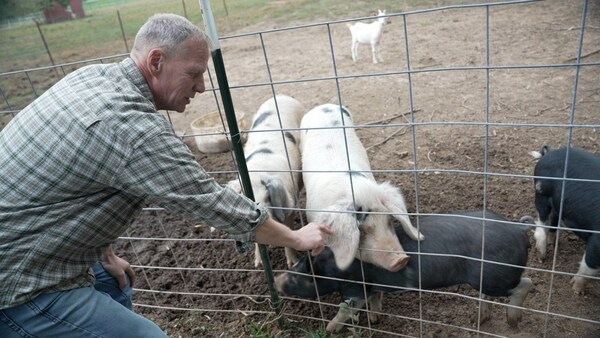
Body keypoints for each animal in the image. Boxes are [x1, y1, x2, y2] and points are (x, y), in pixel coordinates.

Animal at [229, 94, 308, 266]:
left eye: (268, 197)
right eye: (245, 199)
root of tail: (281, 96)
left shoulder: (289, 203)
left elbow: (288, 229)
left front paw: (294, 263)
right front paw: (258, 264)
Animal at [274, 210, 532, 332]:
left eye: (299, 276)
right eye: (295, 266)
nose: (277, 281)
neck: (332, 267)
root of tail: (517, 227)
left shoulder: (355, 288)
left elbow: (346, 307)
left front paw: (330, 329)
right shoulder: (372, 285)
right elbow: (375, 298)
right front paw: (375, 318)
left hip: (498, 275)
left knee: (527, 283)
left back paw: (513, 321)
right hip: (488, 277)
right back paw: (479, 319)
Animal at [532, 145, 596, 294]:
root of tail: (549, 153)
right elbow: (589, 267)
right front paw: (576, 291)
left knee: (553, 223)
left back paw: (553, 243)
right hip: (542, 194)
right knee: (542, 223)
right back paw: (542, 256)